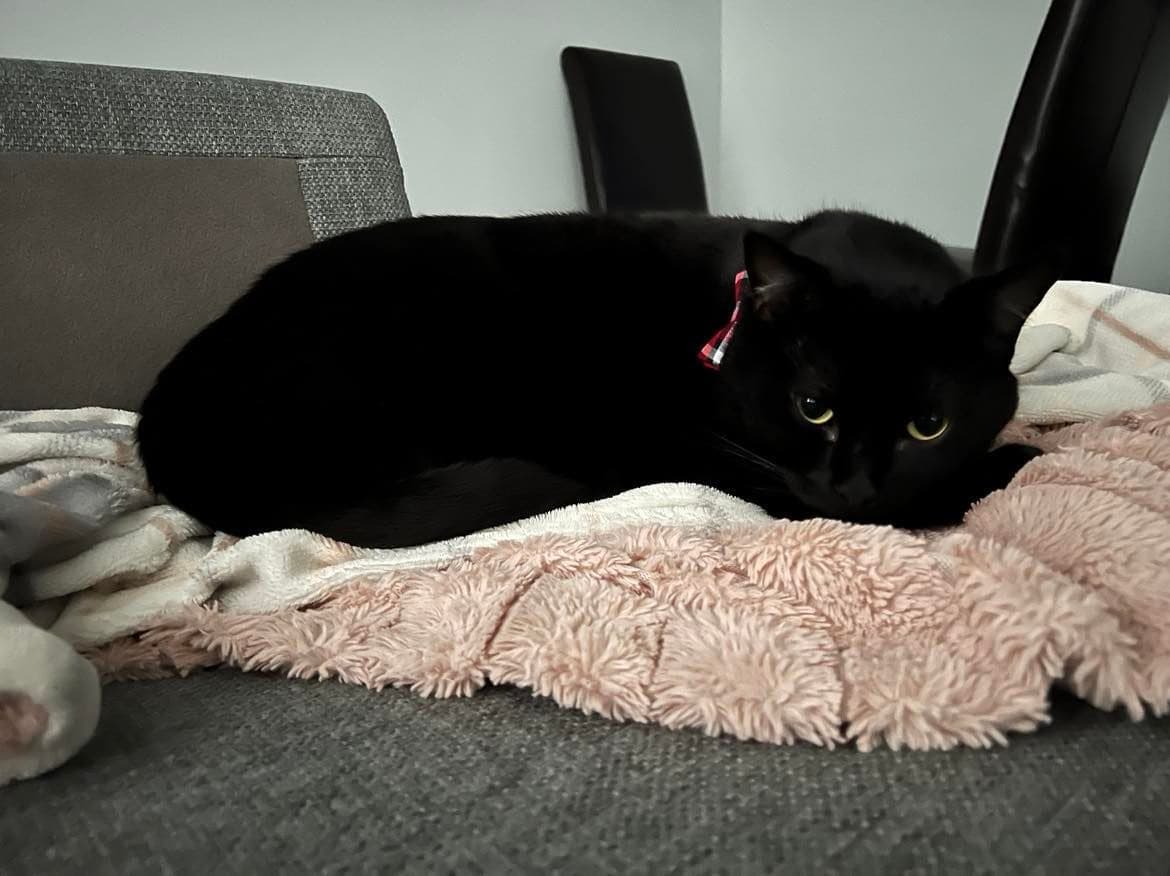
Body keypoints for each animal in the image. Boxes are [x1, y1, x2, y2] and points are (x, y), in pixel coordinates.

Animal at [136, 208, 1053, 542]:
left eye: (928, 424)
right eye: (812, 406)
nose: (856, 489)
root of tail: (165, 428)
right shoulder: (721, 455)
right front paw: (1015, 459)